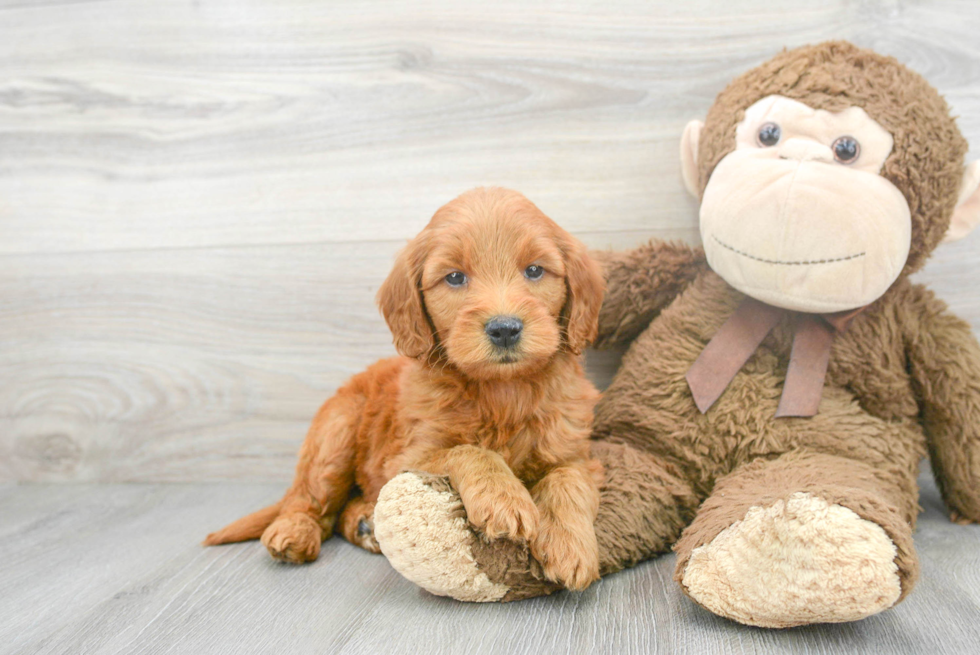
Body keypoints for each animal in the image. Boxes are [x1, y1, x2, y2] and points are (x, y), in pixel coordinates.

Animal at [206, 187, 604, 592]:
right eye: (455, 277)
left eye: (535, 270)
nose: (504, 328)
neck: (502, 392)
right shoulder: (407, 458)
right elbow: (469, 450)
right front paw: (503, 498)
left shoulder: (576, 451)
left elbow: (568, 479)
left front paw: (571, 545)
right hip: (335, 433)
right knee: (308, 497)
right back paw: (294, 531)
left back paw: (364, 523)